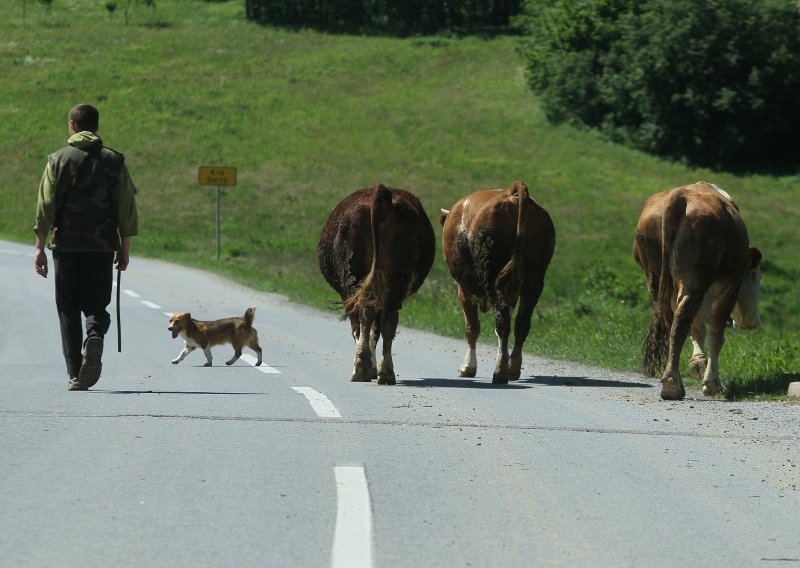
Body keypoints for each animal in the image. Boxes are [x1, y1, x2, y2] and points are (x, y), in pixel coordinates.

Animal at [316, 184, 434, 384]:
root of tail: (381, 191)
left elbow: (361, 328)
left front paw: (369, 366)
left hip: (355, 279)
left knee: (364, 316)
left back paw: (361, 369)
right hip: (395, 282)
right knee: (387, 322)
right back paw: (386, 372)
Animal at [438, 181, 556, 386]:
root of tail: (513, 192)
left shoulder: (464, 290)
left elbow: (472, 327)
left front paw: (468, 367)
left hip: (492, 274)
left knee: (502, 324)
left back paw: (500, 372)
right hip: (534, 277)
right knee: (521, 323)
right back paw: (513, 367)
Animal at [632, 182, 764, 400]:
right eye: (756, 277)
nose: (752, 323)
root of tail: (678, 195)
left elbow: (697, 329)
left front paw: (698, 363)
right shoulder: (730, 287)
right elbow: (716, 333)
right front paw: (711, 382)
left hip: (657, 279)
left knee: (673, 321)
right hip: (695, 276)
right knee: (683, 319)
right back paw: (673, 386)